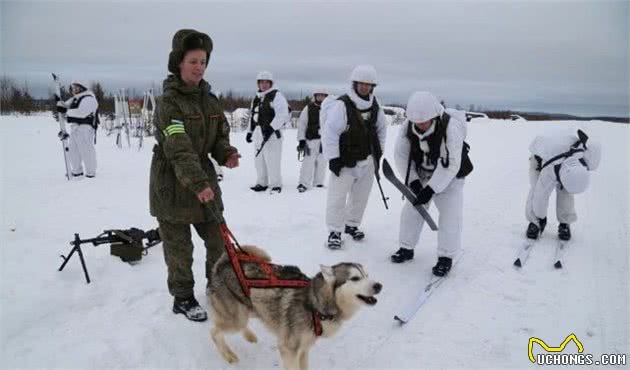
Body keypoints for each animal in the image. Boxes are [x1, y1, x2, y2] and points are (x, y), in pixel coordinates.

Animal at [210, 246, 382, 370]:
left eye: (367, 275)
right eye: (355, 278)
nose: (379, 285)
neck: (314, 305)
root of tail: (224, 262)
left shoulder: (304, 349)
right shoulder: (289, 349)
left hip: (252, 309)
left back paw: (249, 336)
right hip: (236, 318)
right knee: (214, 331)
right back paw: (229, 355)